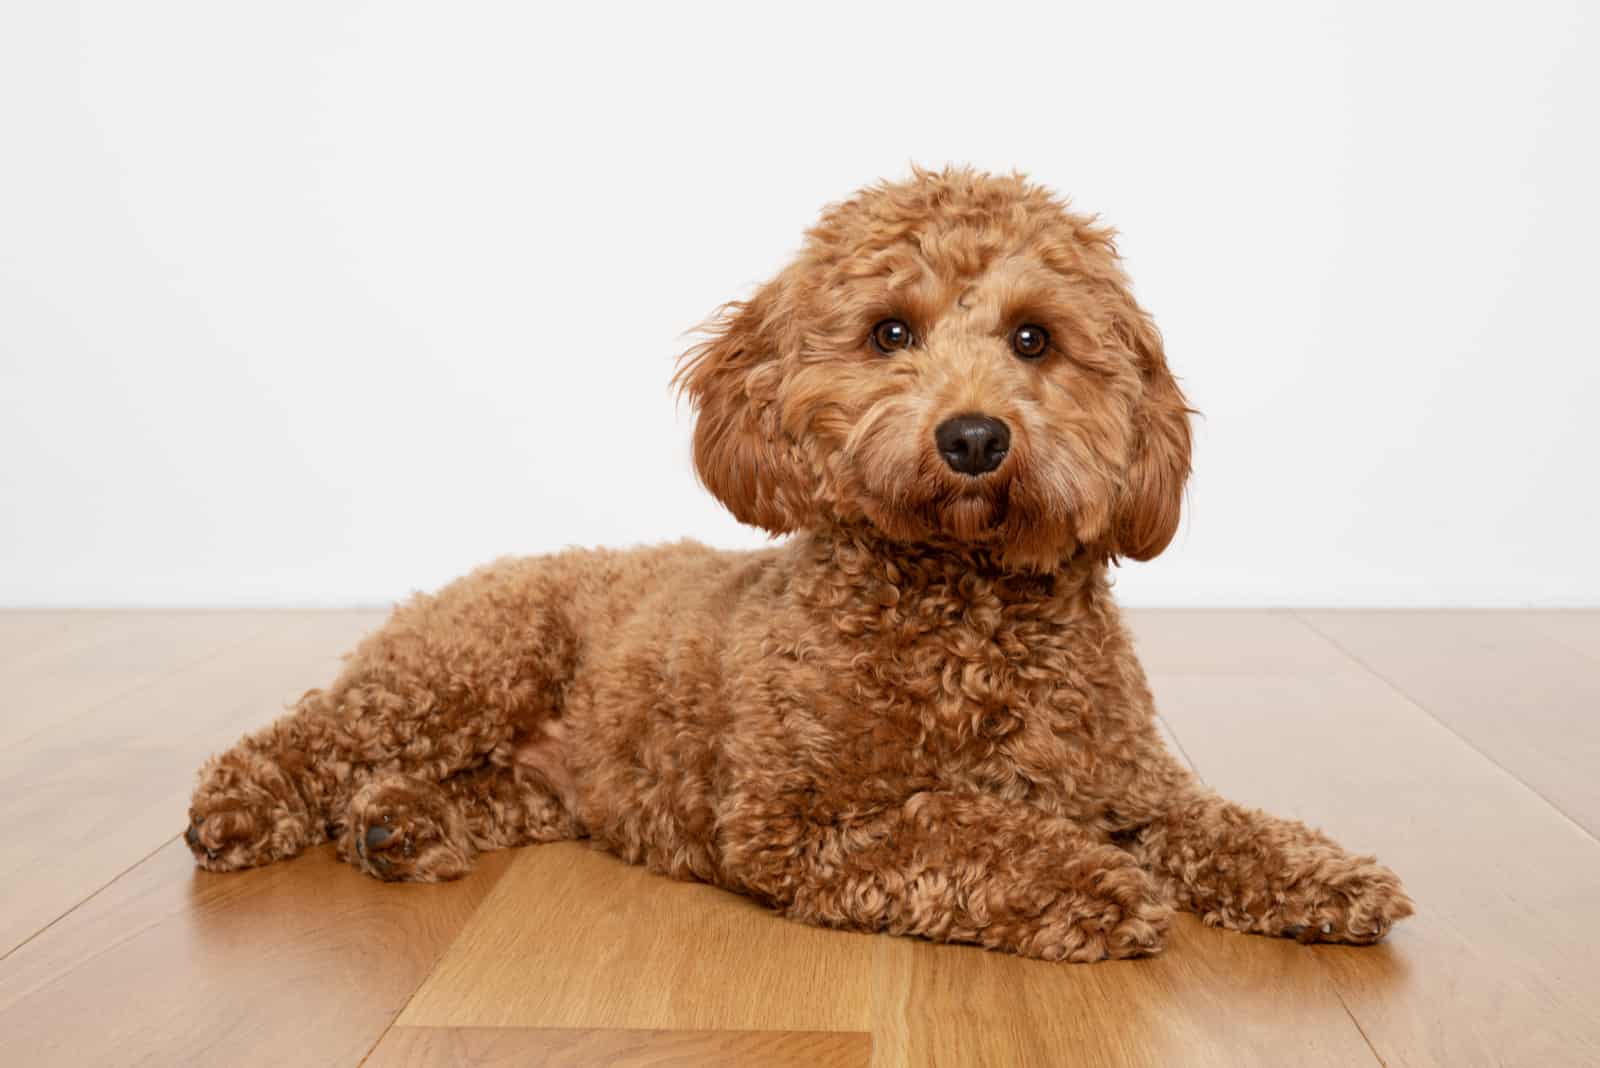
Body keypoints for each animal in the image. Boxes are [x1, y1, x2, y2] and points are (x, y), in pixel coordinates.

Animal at [190, 171, 1414, 965]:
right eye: (888, 334)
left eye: (1033, 339)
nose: (974, 438)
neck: (962, 616)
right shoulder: (800, 823)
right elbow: (962, 827)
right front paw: (1097, 885)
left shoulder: (1127, 784)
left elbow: (1220, 825)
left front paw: (1325, 876)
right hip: (466, 668)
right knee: (313, 736)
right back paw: (239, 810)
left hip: (548, 777)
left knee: (464, 789)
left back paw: (397, 825)